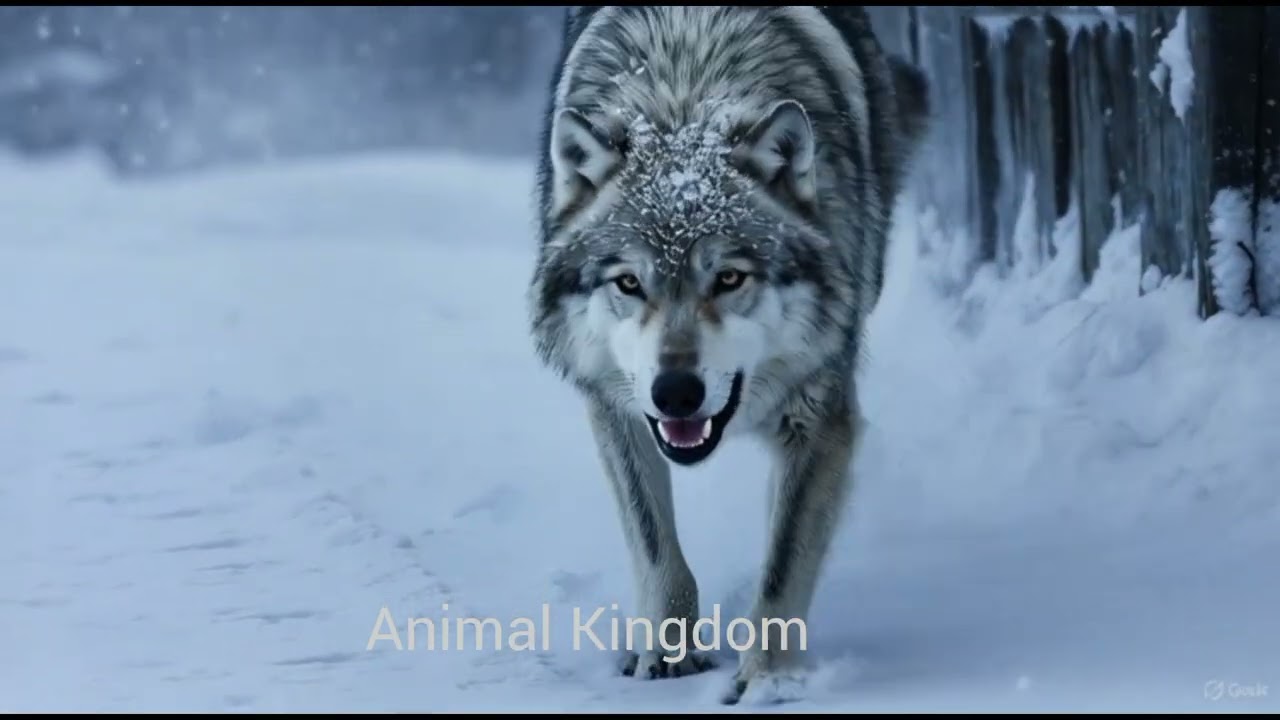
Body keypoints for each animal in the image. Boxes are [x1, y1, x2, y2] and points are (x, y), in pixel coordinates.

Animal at [526, 5, 930, 704]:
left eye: (730, 278)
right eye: (629, 283)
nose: (676, 393)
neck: (682, 95)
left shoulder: (820, 416)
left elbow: (782, 567)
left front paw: (767, 683)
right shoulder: (615, 408)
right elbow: (656, 546)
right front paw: (668, 656)